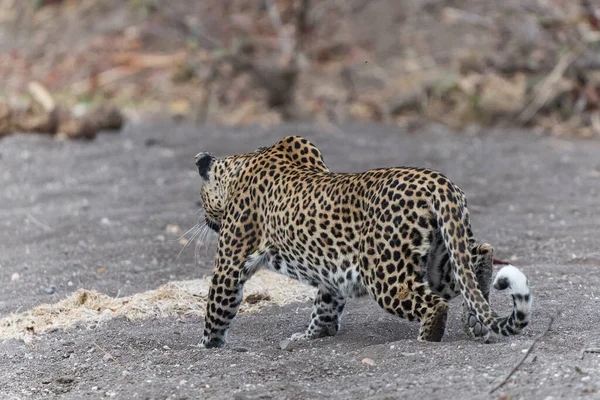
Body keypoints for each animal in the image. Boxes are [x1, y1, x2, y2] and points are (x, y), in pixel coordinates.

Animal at [191, 136, 528, 348]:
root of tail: (439, 182)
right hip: (440, 258)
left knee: (435, 303)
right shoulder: (332, 273)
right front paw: (313, 335)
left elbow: (218, 306)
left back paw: (426, 338)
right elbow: (326, 305)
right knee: (478, 258)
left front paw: (207, 345)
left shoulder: (231, 263)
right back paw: (475, 314)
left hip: (385, 274)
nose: (207, 219)